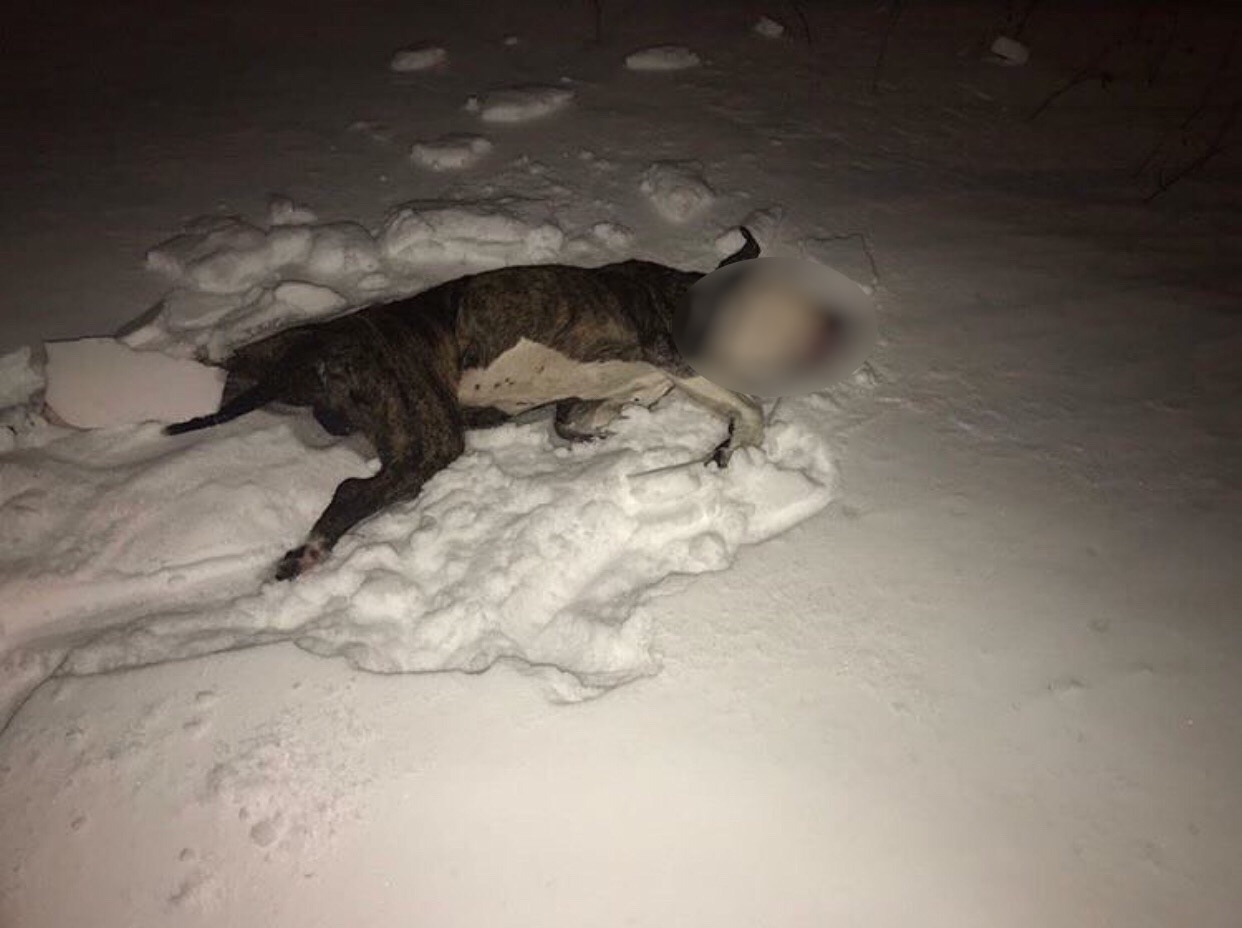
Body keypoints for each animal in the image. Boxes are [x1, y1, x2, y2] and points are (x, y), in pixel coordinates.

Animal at [165, 229, 764, 580]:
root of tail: (320, 354)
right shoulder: (671, 355)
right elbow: (749, 408)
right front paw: (740, 447)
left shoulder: (612, 392)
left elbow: (581, 419)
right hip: (429, 434)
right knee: (353, 489)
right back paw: (309, 552)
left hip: (310, 373)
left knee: (245, 363)